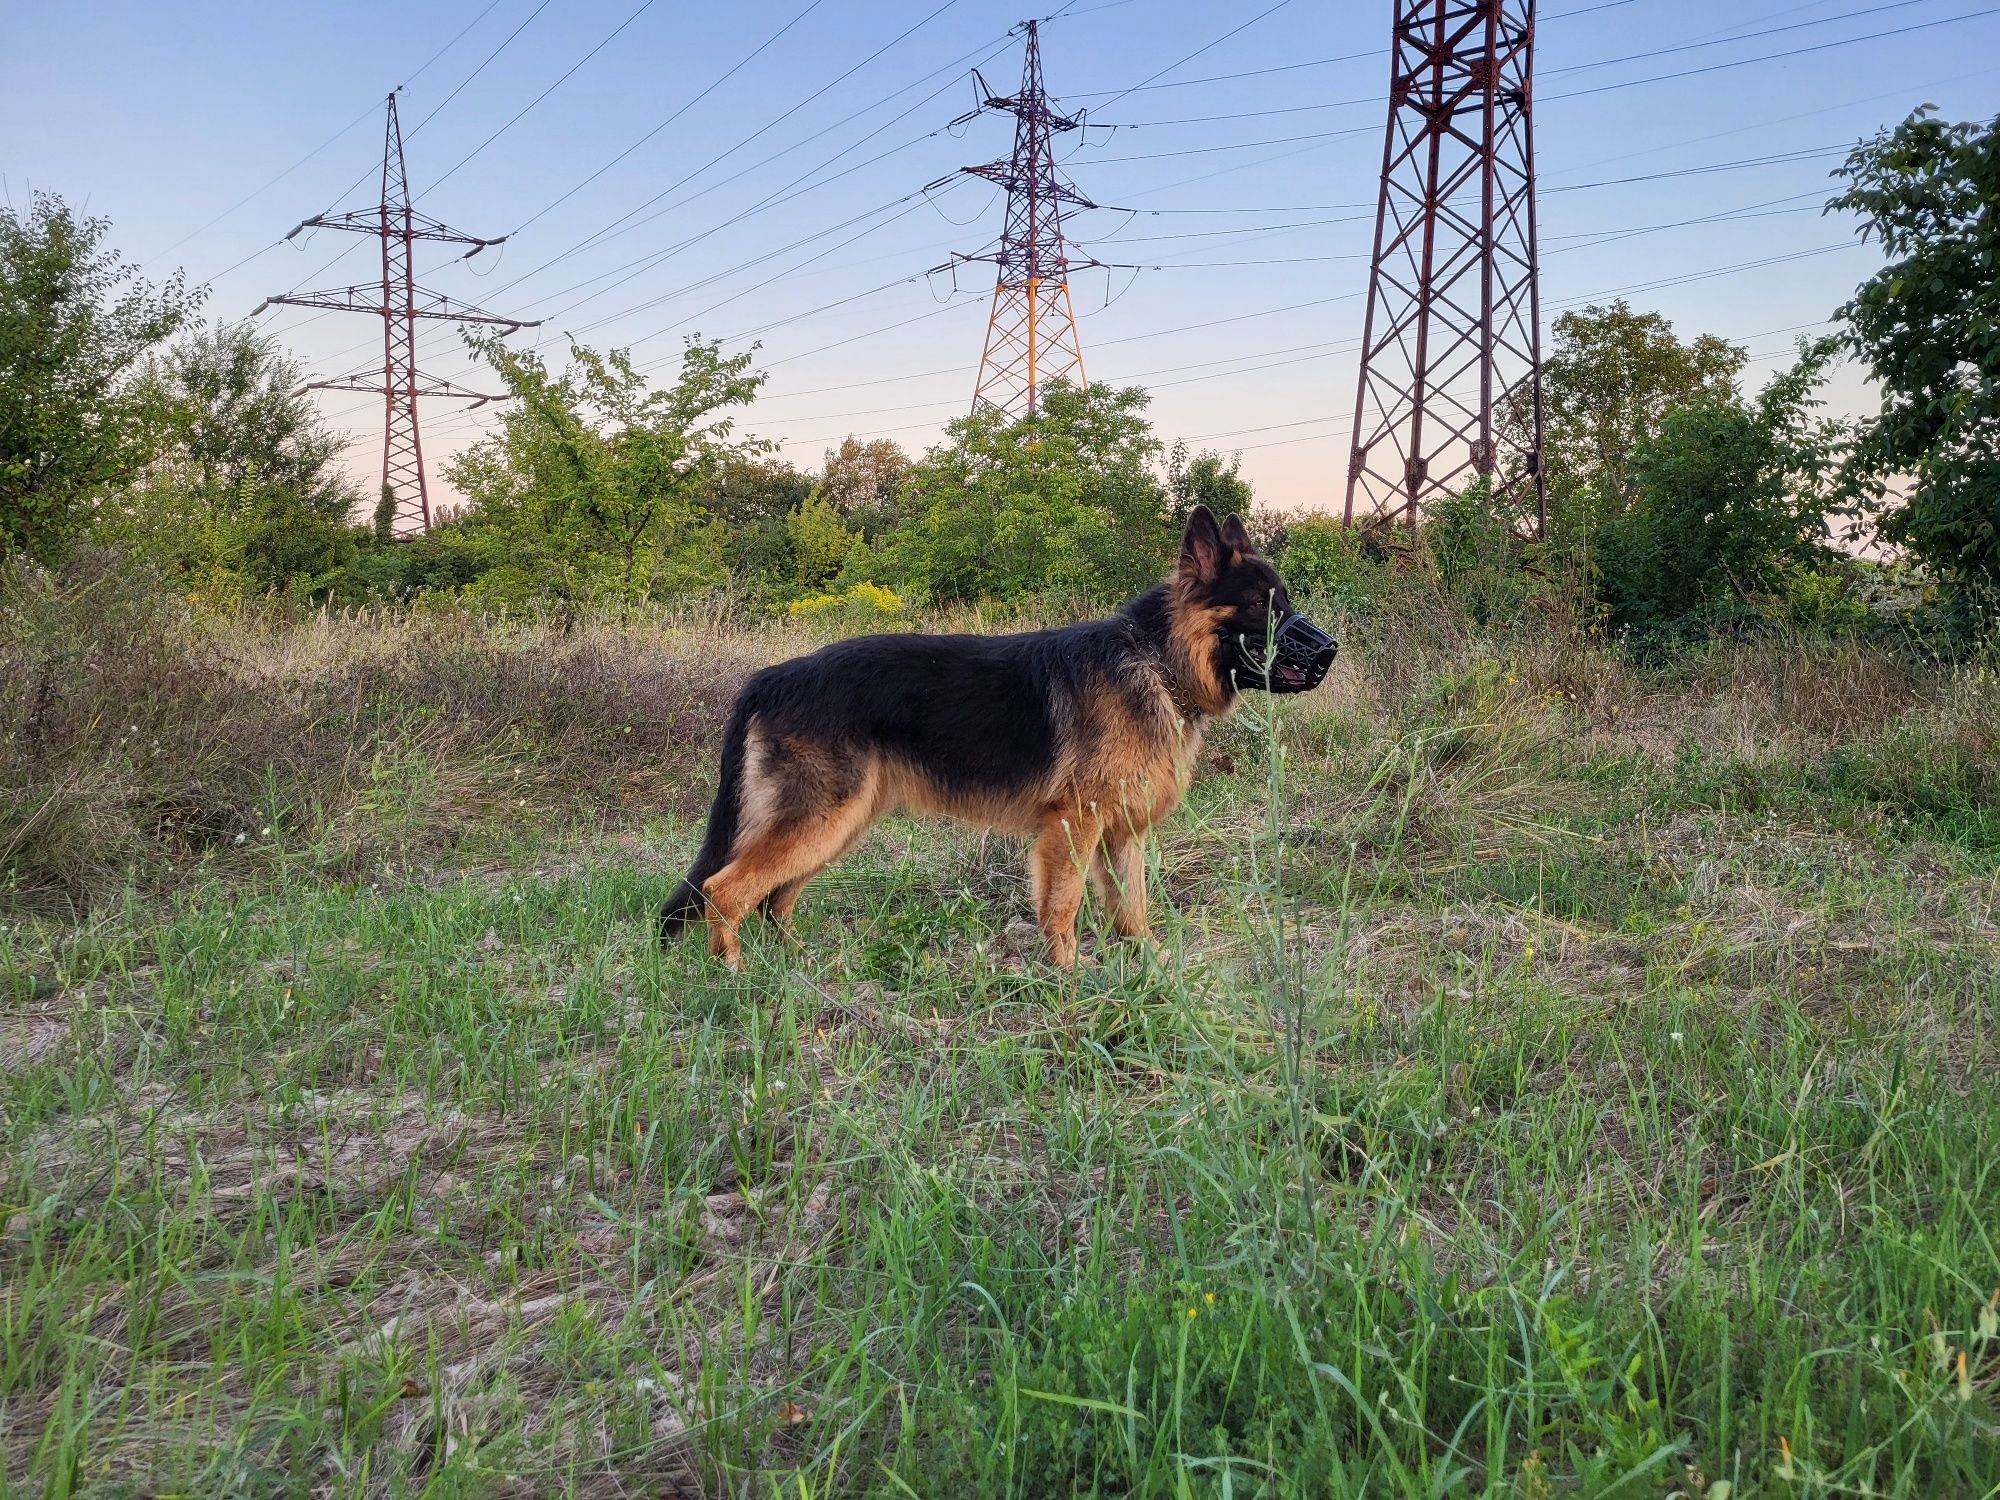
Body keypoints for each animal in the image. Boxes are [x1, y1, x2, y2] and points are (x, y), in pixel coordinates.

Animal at [664, 508, 1336, 976]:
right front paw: (1068, 979)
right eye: (1261, 606)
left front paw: (1148, 971)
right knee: (726, 890)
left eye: (1285, 601)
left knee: (774, 899)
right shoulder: (1073, 827)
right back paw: (736, 974)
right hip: (821, 820)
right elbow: (1063, 908)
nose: (1329, 650)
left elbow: (1133, 912)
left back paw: (795, 964)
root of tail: (772, 676)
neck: (1155, 659)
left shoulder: (1122, 835)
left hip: (837, 825)